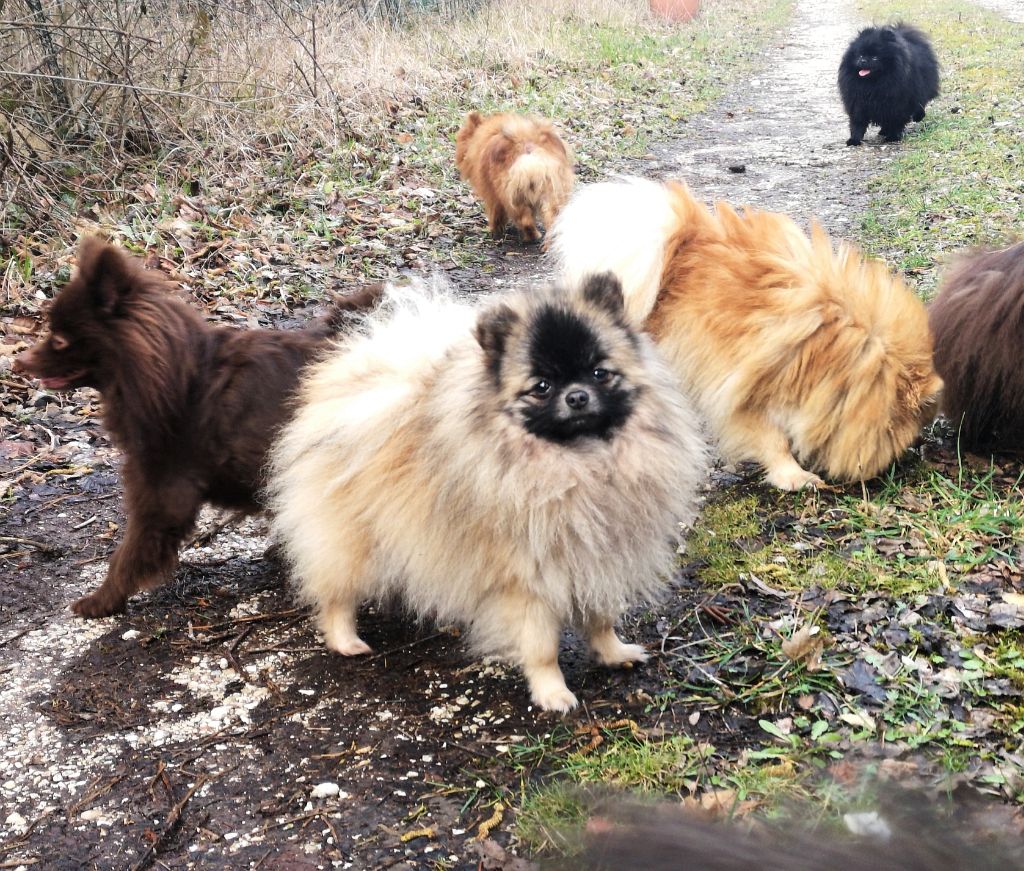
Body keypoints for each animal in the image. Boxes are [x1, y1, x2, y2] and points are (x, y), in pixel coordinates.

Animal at [14, 238, 382, 618]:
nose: (17, 361)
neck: (177, 378)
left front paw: (101, 600)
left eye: (59, 339)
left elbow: (126, 555)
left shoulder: (161, 493)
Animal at [456, 111, 577, 245]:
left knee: (525, 220)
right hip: (553, 195)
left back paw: (532, 236)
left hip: (511, 197)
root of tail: (531, 155)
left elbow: (496, 215)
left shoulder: (493, 196)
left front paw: (494, 230)